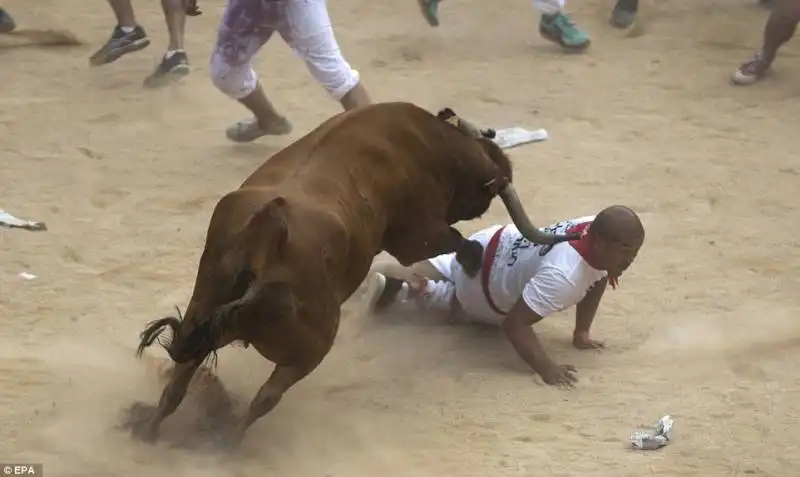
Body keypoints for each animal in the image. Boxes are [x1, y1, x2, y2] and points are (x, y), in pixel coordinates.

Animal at [133, 100, 580, 446]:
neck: (431, 143)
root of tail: (268, 231)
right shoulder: (416, 233)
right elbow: (459, 242)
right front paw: (470, 263)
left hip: (199, 315)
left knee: (178, 383)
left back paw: (150, 432)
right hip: (310, 348)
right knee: (265, 397)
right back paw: (227, 442)